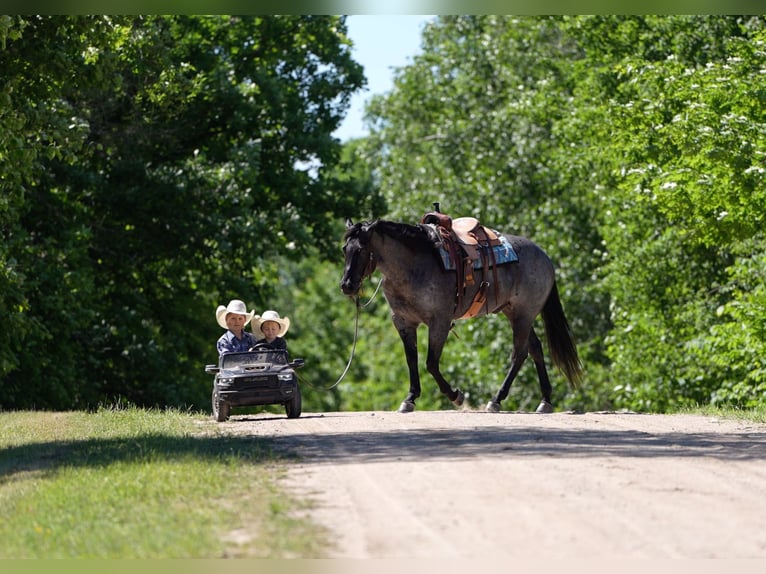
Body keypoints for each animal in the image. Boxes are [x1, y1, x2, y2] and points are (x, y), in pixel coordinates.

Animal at [339, 218, 582, 413]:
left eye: (361, 249)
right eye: (344, 249)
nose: (346, 286)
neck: (414, 266)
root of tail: (545, 258)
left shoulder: (439, 322)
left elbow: (431, 363)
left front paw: (456, 395)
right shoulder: (403, 323)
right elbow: (412, 360)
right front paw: (410, 399)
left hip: (523, 315)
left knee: (519, 354)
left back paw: (496, 400)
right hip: (515, 313)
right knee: (535, 349)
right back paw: (545, 401)